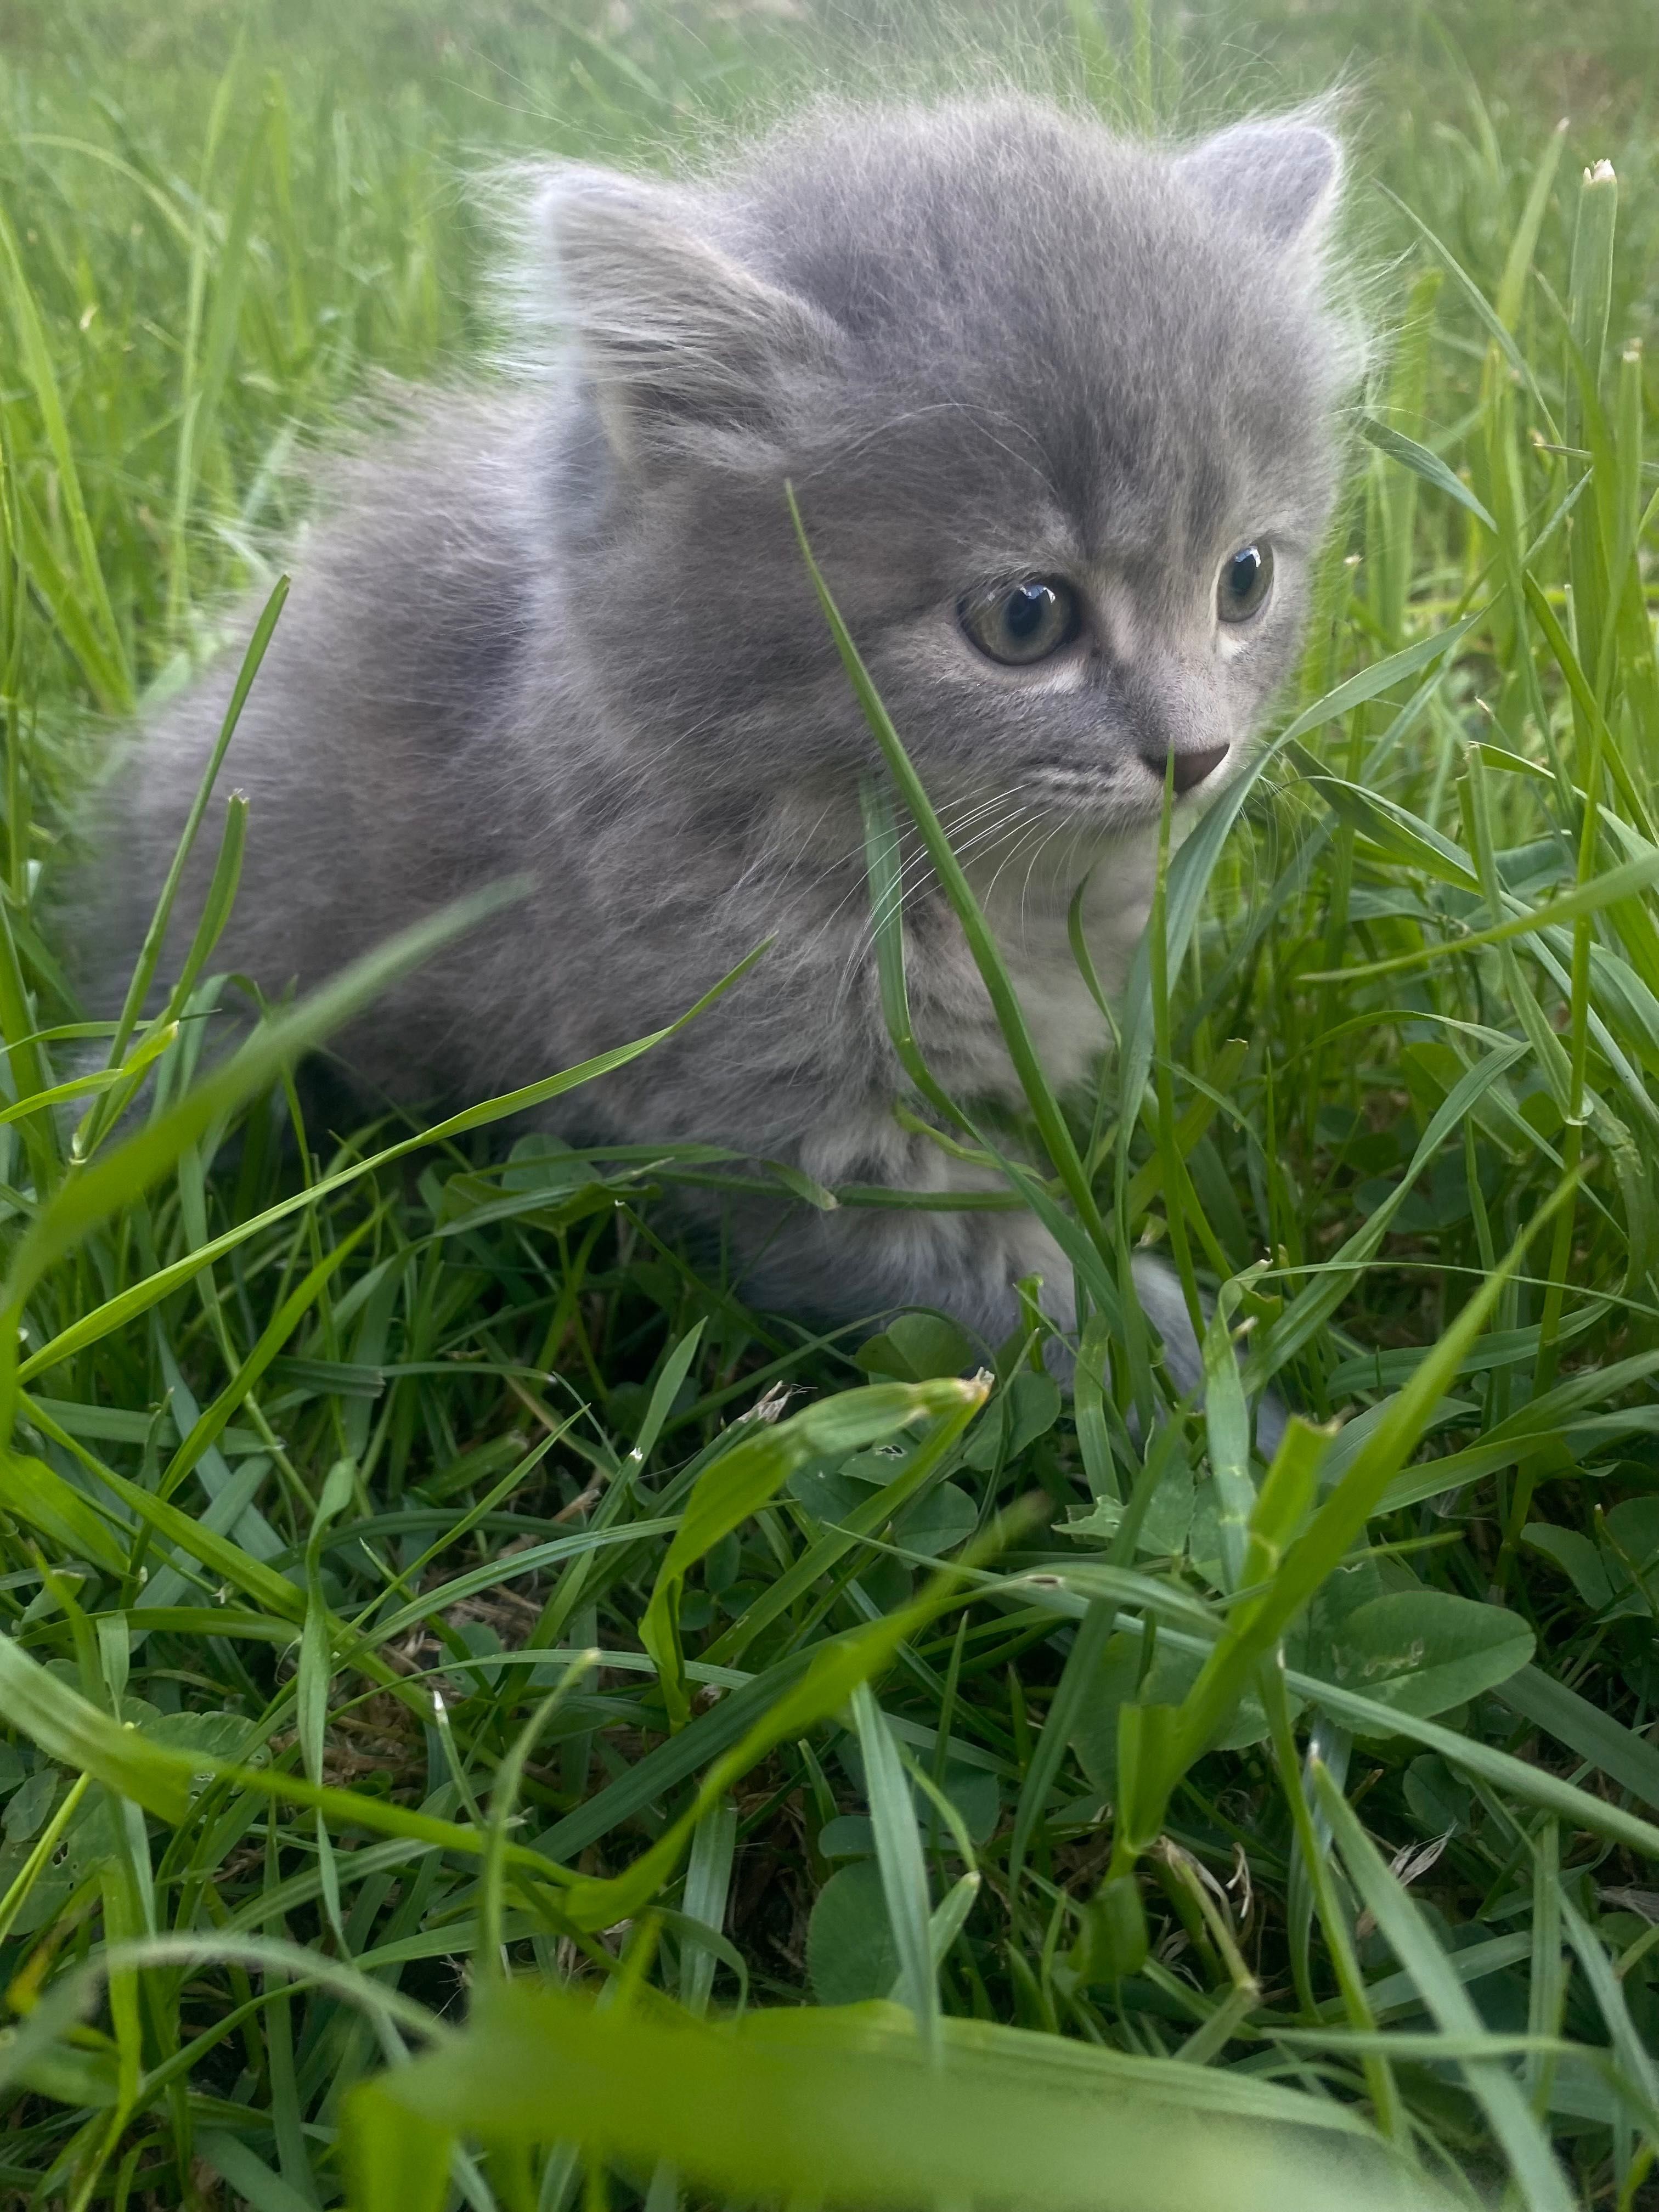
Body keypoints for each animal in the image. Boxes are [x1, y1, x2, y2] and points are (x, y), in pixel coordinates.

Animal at [84, 99, 1353, 1380]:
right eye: (1024, 618)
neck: (980, 892)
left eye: (1244, 580)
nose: (1195, 755)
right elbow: (1042, 1299)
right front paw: (1222, 1401)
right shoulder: (784, 1130)